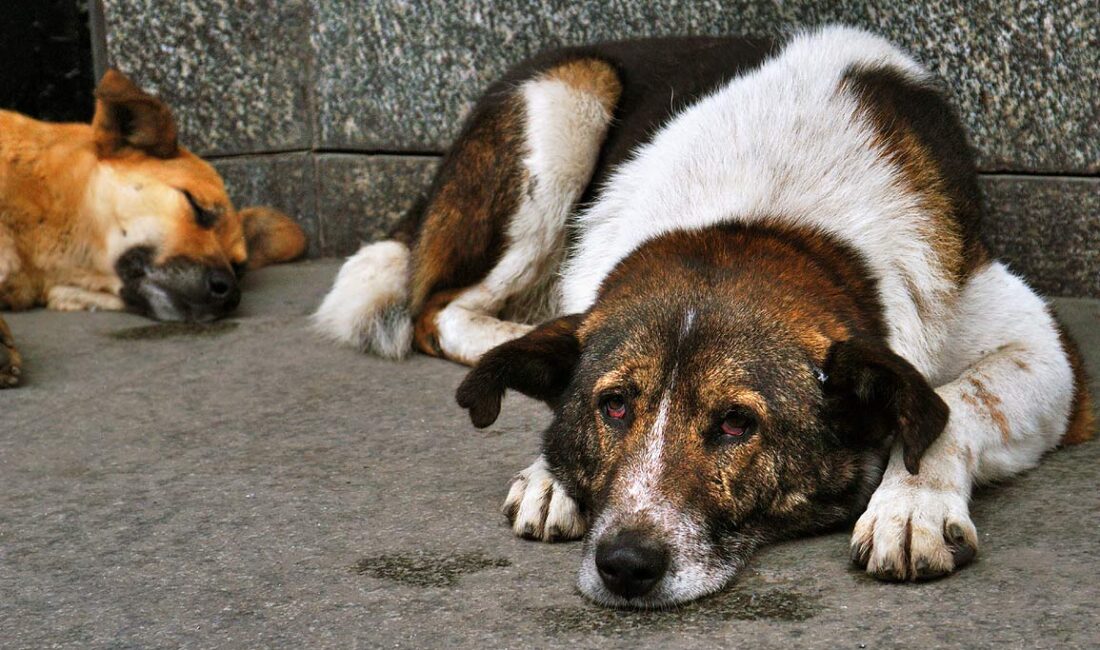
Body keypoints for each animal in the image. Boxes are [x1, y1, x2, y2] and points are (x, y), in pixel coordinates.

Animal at [314, 25, 1095, 607]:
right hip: (567, 97)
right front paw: (547, 467)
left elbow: (956, 402)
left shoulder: (1047, 348)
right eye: (615, 406)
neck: (759, 217)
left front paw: (911, 507)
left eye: (736, 424)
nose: (626, 565)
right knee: (437, 308)